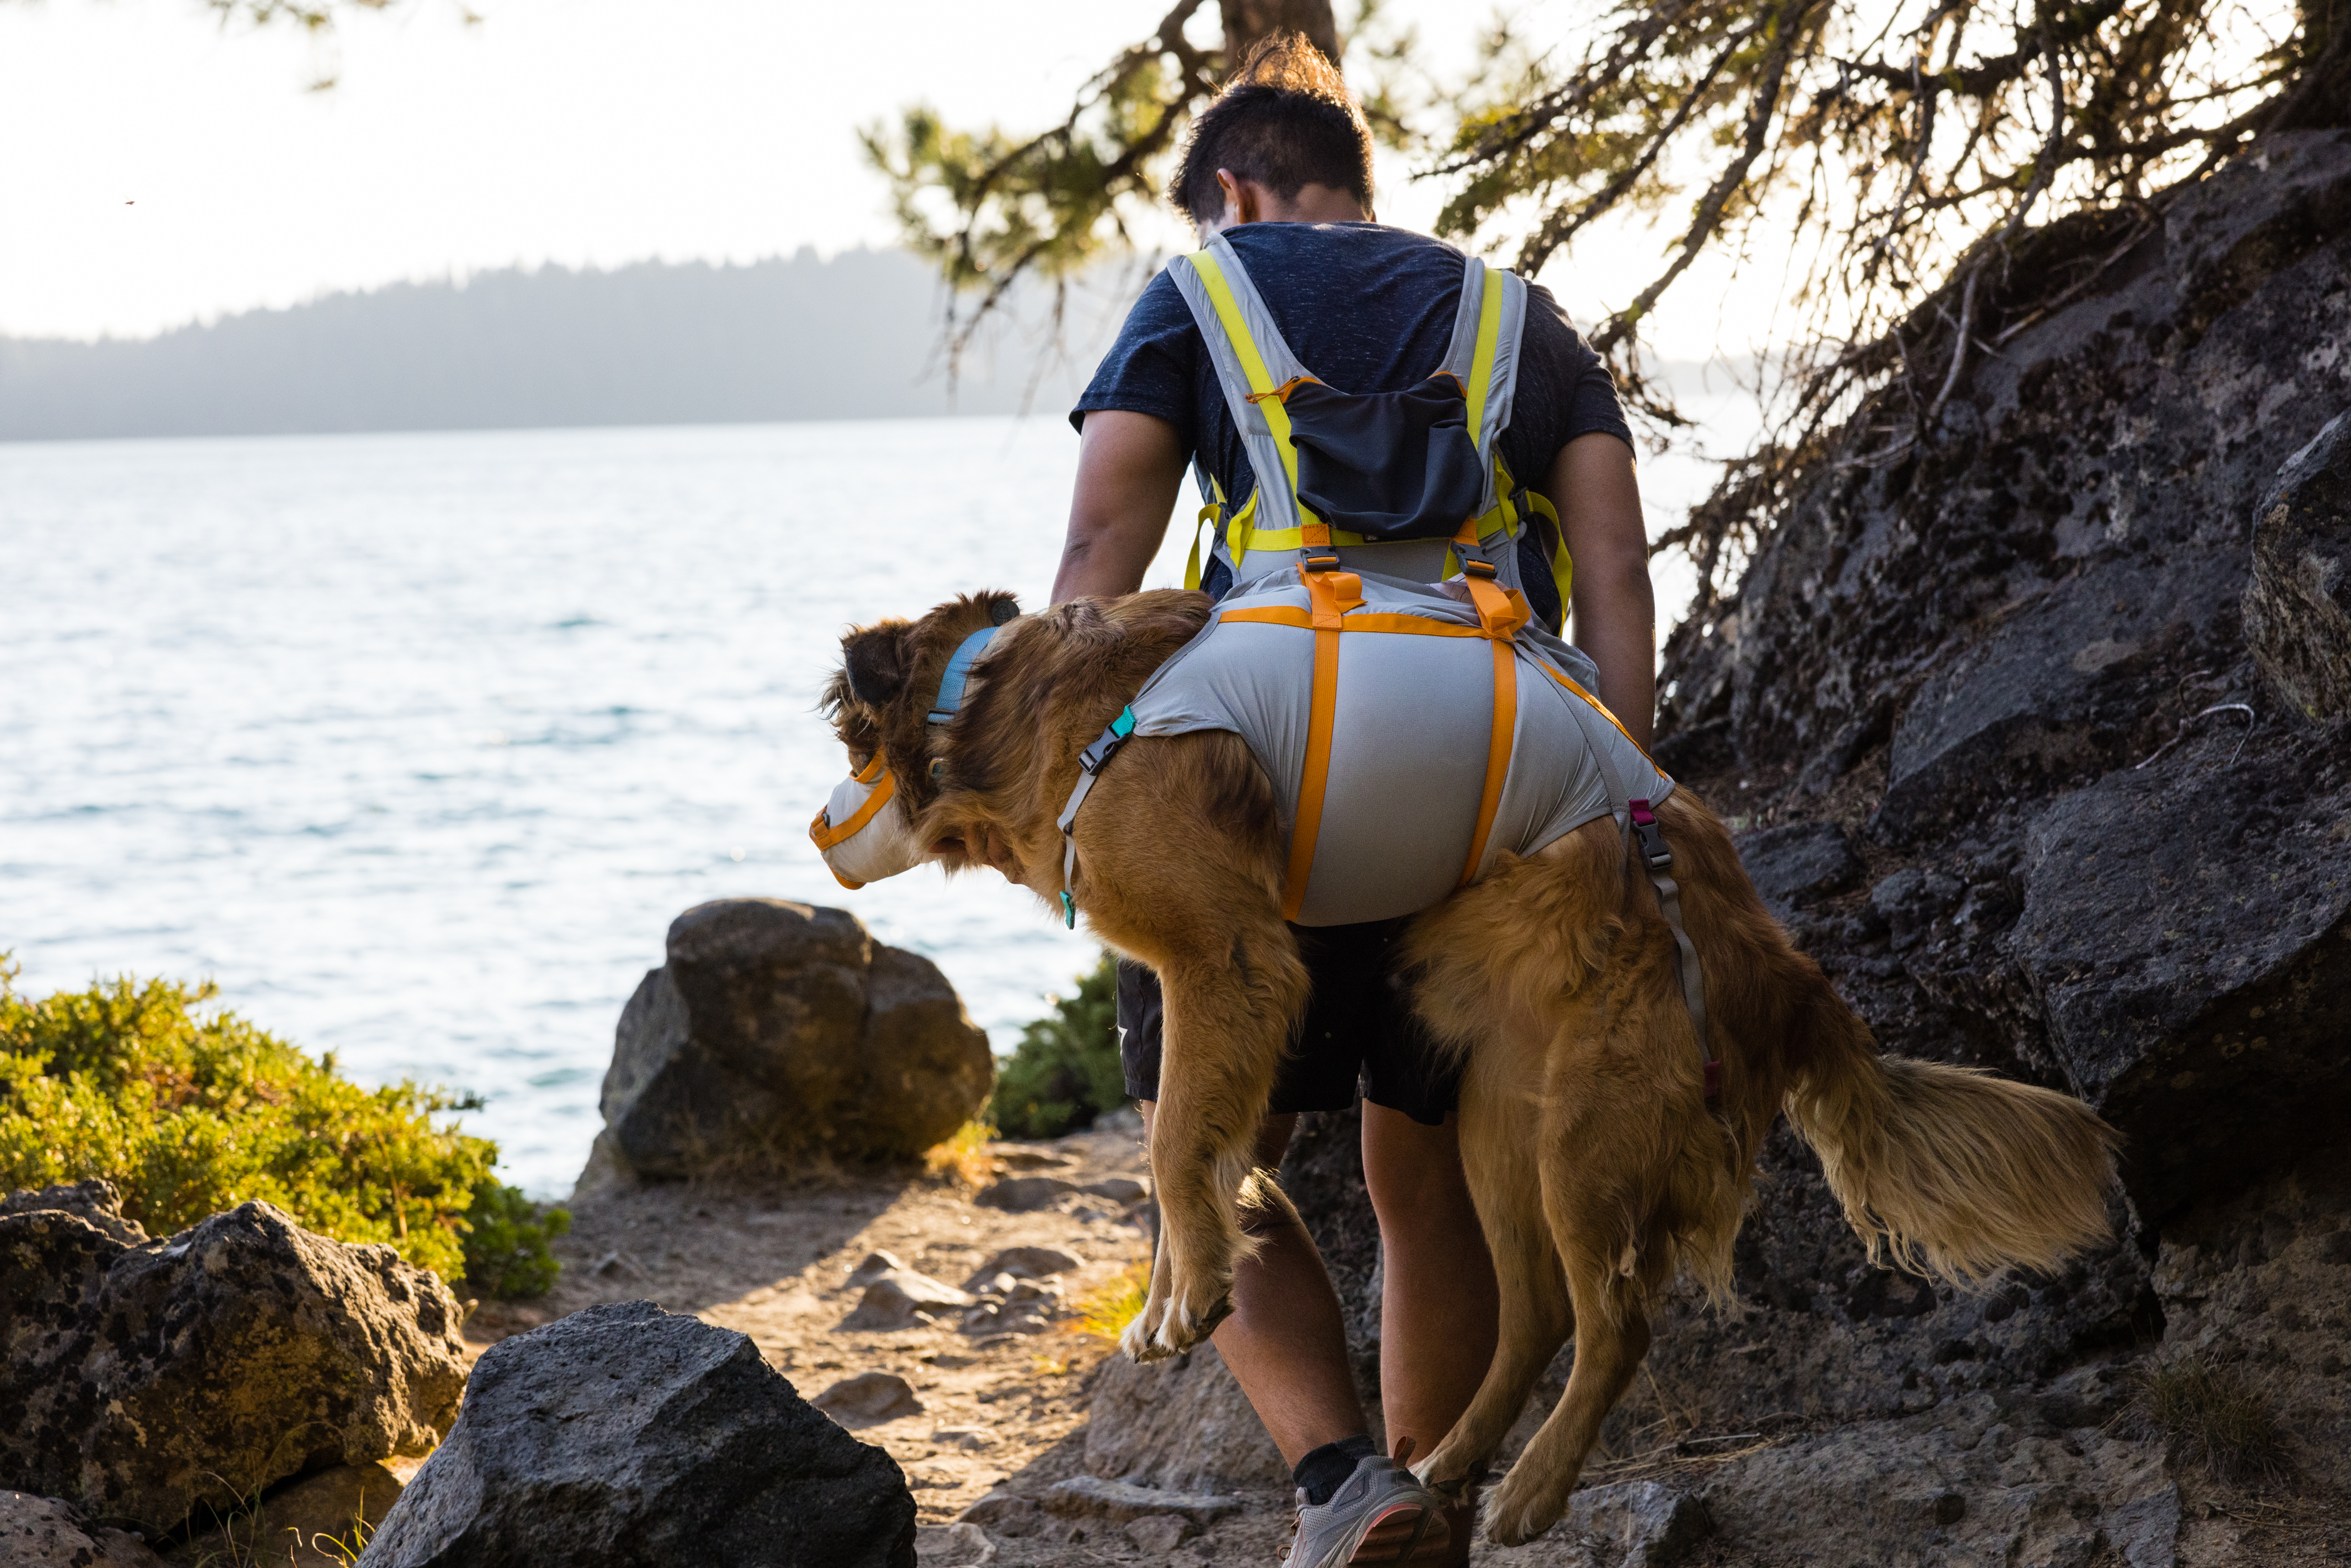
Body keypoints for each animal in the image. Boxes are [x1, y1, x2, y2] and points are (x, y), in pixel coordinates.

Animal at [818, 585, 2125, 1542]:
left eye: (847, 745)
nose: (815, 828)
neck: (1011, 705)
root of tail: (1782, 963)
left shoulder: (1224, 959)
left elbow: (1171, 1146)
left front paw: (1184, 1294)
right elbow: (1195, 1163)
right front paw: (1174, 1293)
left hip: (1588, 1134)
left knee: (1614, 1325)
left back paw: (1531, 1489)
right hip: (1502, 1110)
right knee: (1538, 1307)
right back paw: (1448, 1461)